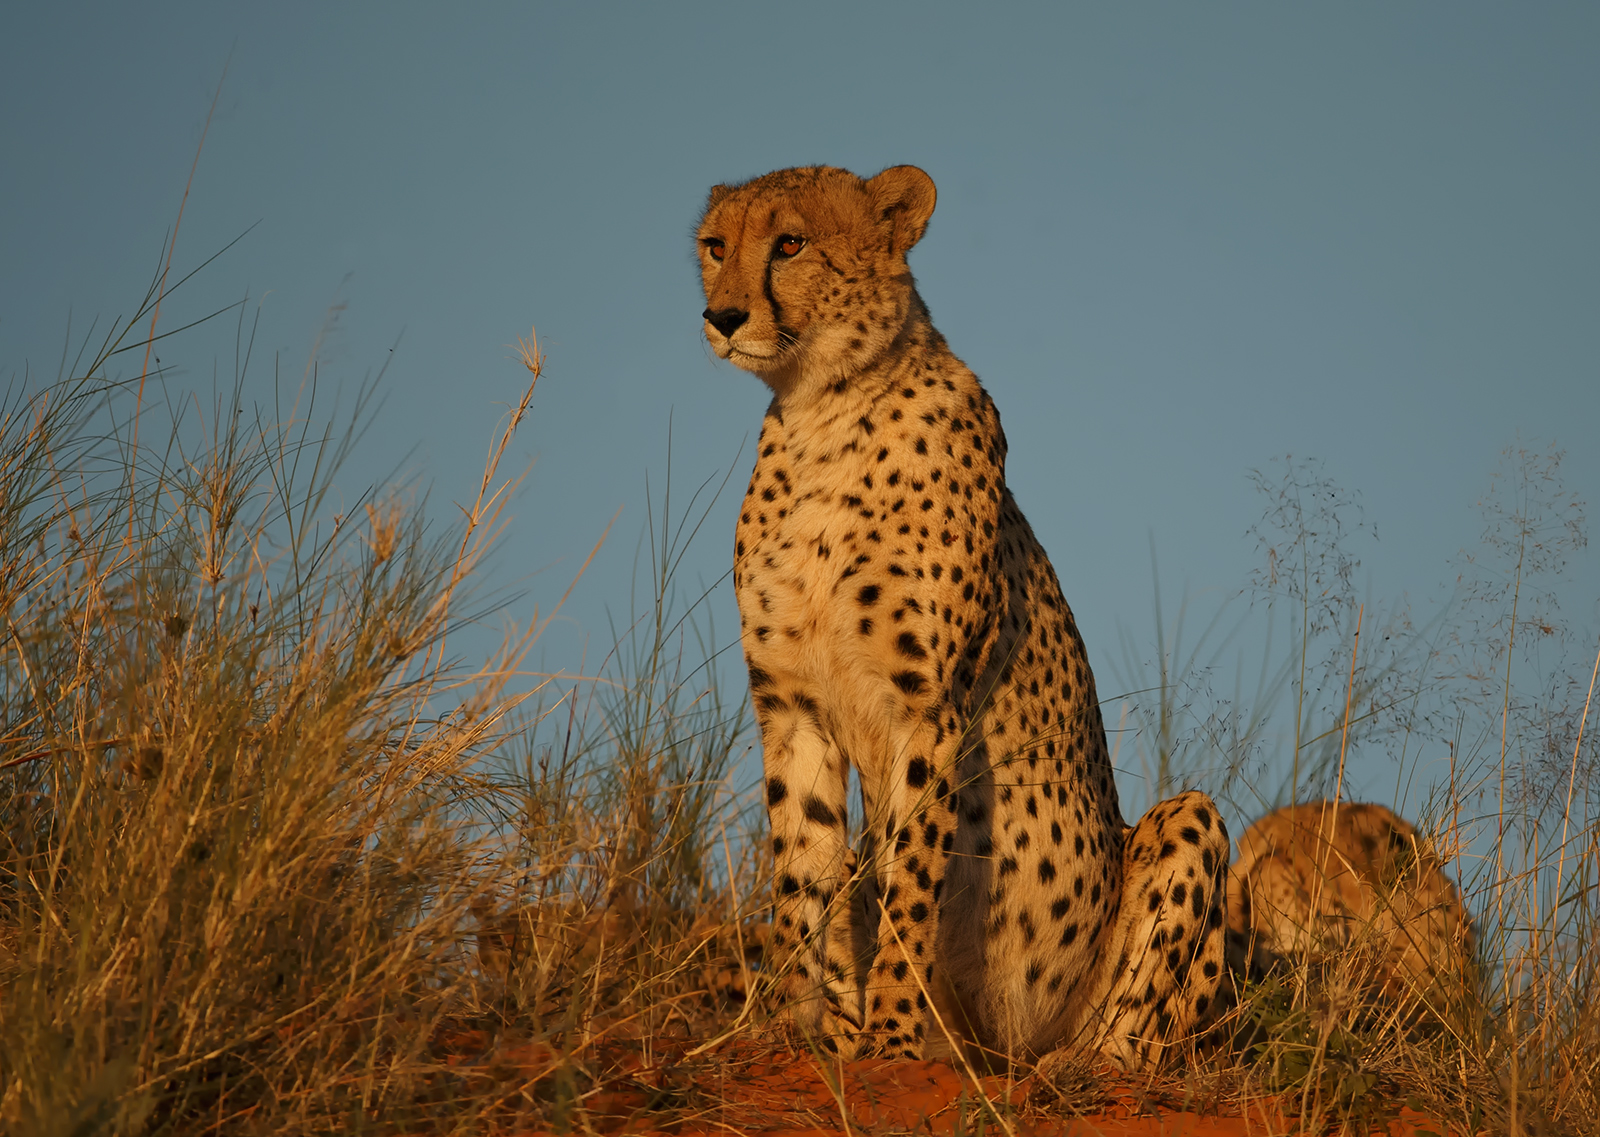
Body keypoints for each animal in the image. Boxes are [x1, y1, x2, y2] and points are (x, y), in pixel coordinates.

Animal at [695, 163, 1230, 1070]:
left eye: (791, 243)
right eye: (714, 246)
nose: (722, 316)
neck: (820, 413)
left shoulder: (928, 708)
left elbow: (910, 880)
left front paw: (891, 1037)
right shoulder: (792, 709)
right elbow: (802, 872)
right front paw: (808, 1031)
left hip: (1184, 832)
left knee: (1138, 1044)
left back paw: (1081, 1064)